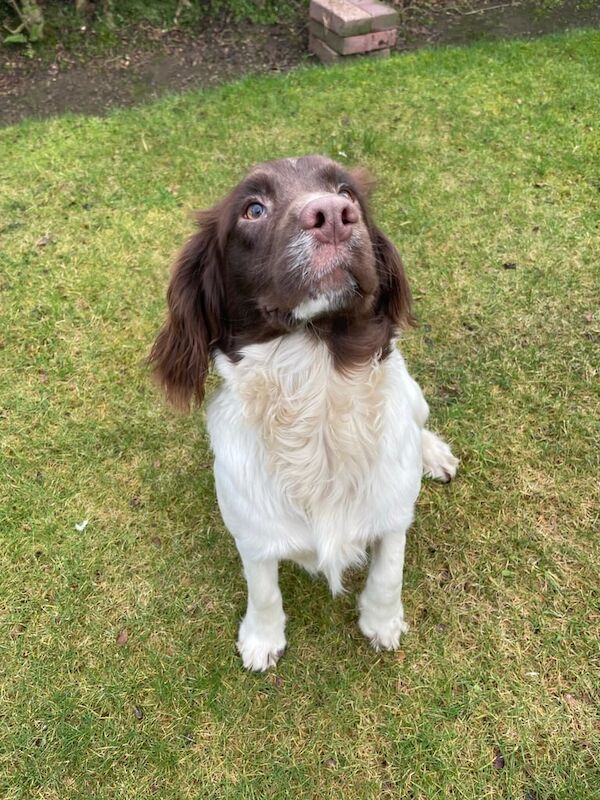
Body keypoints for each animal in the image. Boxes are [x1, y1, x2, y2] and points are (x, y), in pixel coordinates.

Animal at [150, 155, 460, 668]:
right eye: (253, 209)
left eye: (346, 192)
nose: (334, 215)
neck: (318, 393)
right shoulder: (251, 531)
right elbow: (263, 588)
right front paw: (262, 638)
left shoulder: (394, 514)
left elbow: (388, 571)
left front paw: (382, 622)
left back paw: (433, 455)